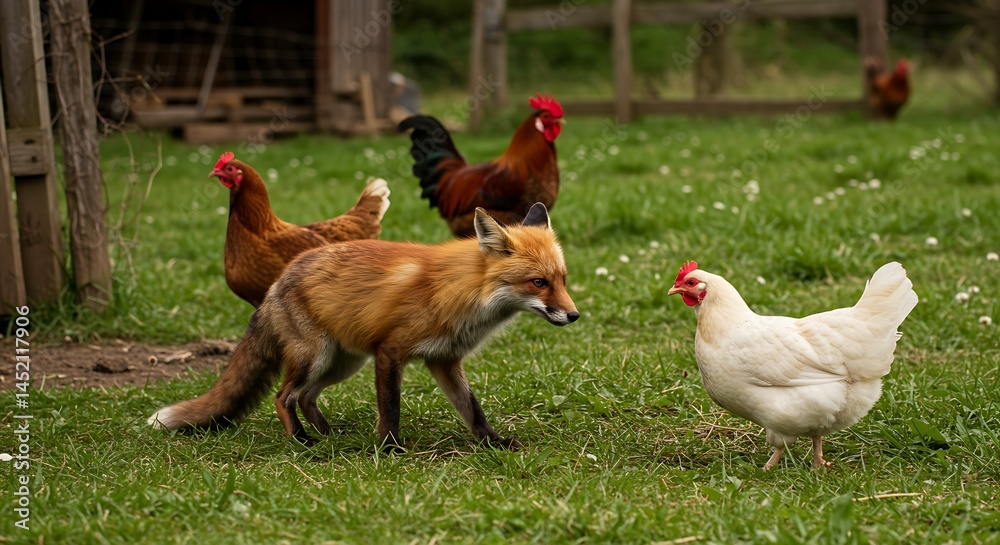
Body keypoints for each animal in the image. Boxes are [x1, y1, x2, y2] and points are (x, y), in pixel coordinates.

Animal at [148, 203, 579, 450]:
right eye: (538, 282)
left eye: (562, 279)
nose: (574, 316)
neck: (466, 293)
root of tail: (276, 283)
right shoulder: (390, 352)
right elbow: (390, 408)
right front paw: (389, 449)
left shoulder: (445, 360)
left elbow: (472, 409)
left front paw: (494, 444)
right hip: (315, 356)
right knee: (283, 396)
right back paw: (302, 442)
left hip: (342, 363)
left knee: (305, 397)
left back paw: (327, 434)